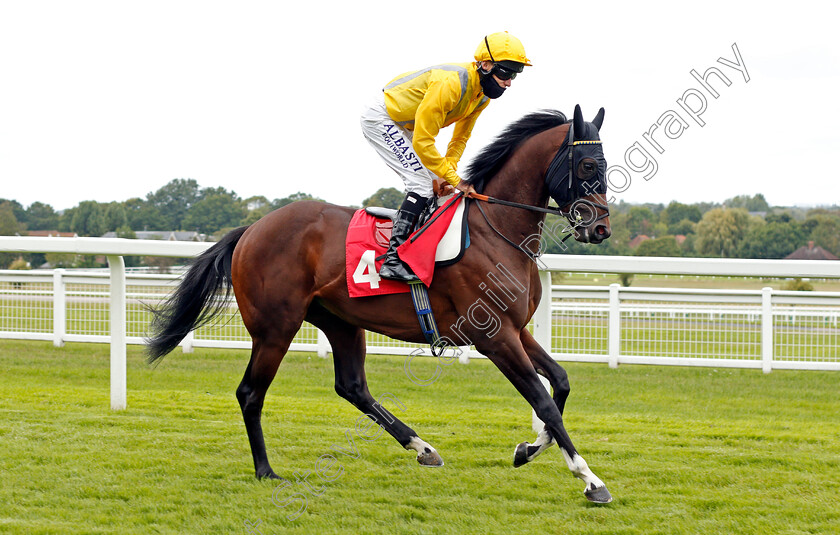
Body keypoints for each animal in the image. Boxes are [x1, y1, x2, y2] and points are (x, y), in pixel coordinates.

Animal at [148, 105, 612, 506]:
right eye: (589, 166)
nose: (601, 229)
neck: (495, 231)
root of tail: (250, 229)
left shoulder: (516, 330)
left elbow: (560, 383)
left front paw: (527, 449)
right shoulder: (495, 337)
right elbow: (544, 401)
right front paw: (591, 480)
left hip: (340, 321)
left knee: (352, 386)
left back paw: (422, 447)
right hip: (275, 327)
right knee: (251, 392)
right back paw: (265, 470)